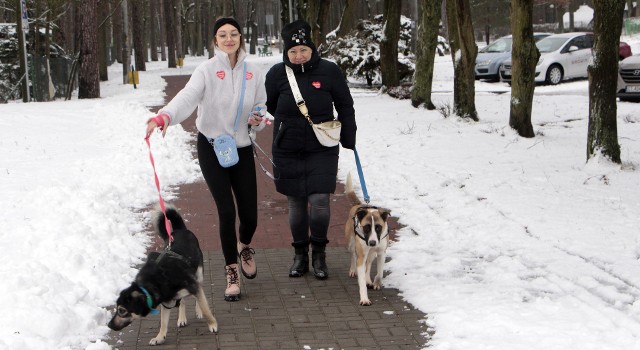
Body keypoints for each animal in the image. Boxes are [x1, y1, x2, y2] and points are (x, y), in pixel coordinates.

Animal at [109, 205, 219, 344]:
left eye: (122, 311)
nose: (109, 325)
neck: (154, 282)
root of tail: (180, 230)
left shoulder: (193, 286)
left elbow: (205, 308)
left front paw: (212, 324)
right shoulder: (166, 302)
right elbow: (163, 322)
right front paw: (160, 337)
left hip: (198, 276)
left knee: (198, 296)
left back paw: (198, 311)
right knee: (182, 301)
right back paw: (181, 318)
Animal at [344, 174, 390, 304]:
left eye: (378, 227)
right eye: (366, 227)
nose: (372, 242)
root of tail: (358, 205)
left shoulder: (381, 253)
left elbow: (380, 272)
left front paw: (376, 283)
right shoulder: (361, 255)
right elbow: (361, 279)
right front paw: (364, 298)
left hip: (372, 253)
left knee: (368, 264)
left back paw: (369, 279)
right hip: (351, 243)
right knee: (353, 256)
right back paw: (353, 270)